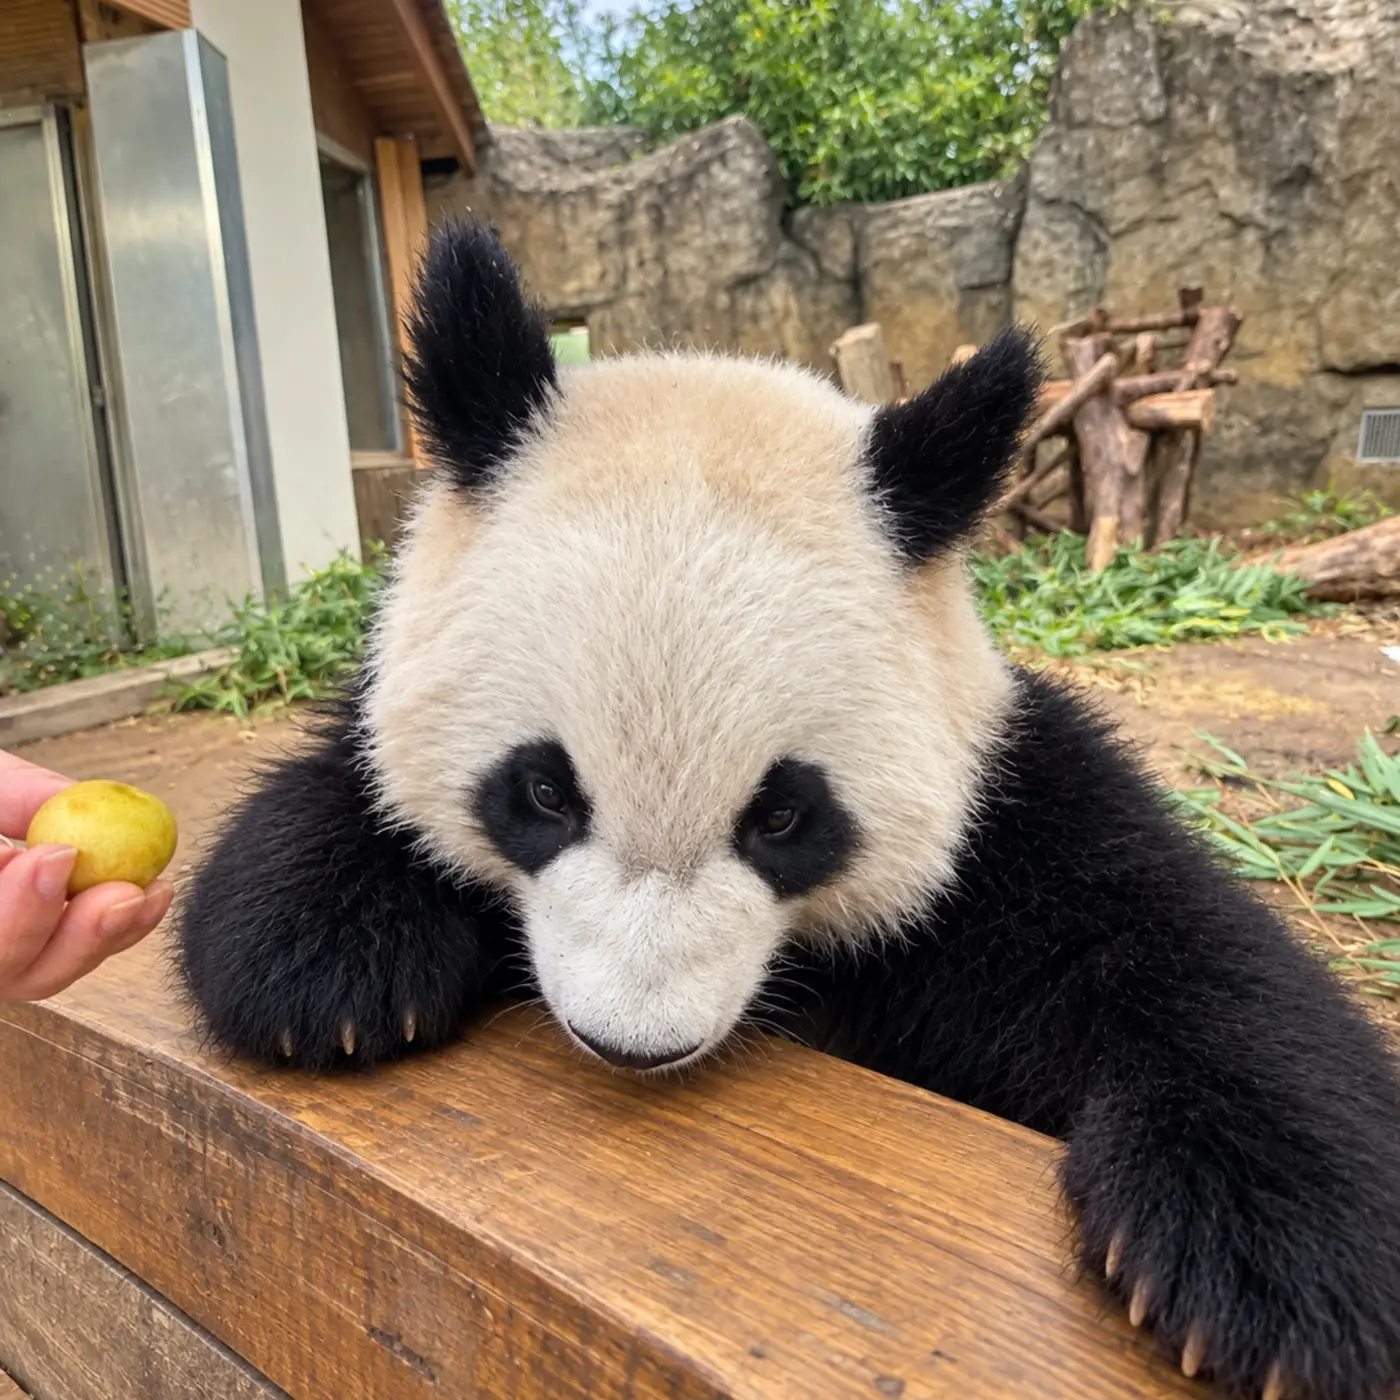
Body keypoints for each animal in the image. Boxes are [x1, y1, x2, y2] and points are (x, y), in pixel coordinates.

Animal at [180, 220, 1400, 1400]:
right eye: (541, 791)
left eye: (780, 818)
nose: (631, 1042)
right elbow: (316, 833)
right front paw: (328, 971)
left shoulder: (1004, 809)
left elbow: (1178, 956)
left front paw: (1282, 1268)